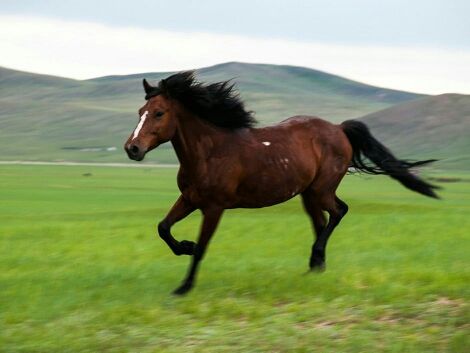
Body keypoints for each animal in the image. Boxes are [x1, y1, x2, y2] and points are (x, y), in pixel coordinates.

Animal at [124, 70, 436, 292]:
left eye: (159, 113)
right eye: (140, 113)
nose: (132, 148)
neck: (210, 152)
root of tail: (339, 128)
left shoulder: (214, 207)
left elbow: (201, 247)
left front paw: (184, 286)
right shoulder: (190, 199)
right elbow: (163, 228)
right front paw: (184, 246)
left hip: (322, 189)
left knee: (339, 212)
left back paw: (315, 259)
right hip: (309, 194)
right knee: (321, 222)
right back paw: (315, 268)